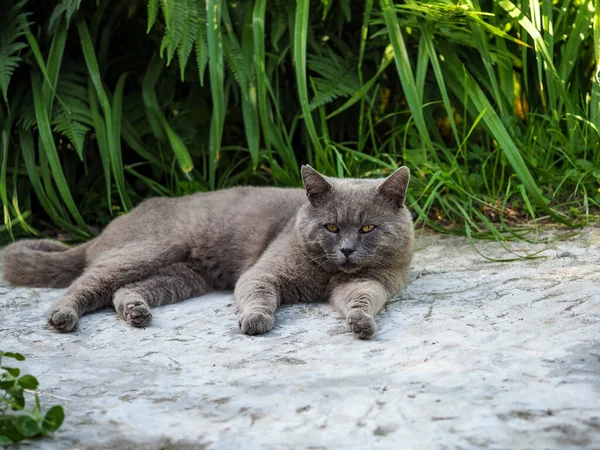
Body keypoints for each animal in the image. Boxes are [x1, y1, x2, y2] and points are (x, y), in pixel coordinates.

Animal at [2, 165, 412, 338]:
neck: (328, 274)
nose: (347, 250)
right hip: (150, 250)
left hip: (183, 276)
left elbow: (362, 298)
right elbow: (259, 295)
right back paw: (62, 317)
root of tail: (109, 227)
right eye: (331, 227)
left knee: (122, 289)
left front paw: (361, 322)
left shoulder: (373, 282)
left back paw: (136, 312)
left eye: (367, 228)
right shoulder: (262, 272)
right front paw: (256, 321)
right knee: (85, 282)